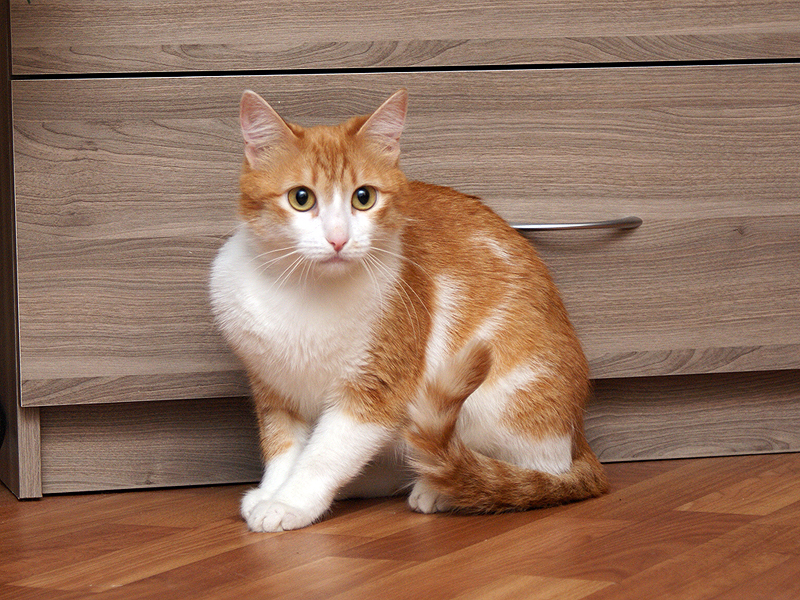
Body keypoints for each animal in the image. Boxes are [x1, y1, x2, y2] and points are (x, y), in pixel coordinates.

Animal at [209, 89, 608, 532]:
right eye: (301, 198)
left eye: (363, 197)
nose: (338, 239)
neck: (304, 291)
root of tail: (579, 435)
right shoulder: (274, 389)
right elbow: (283, 448)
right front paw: (272, 491)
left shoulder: (376, 389)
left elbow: (324, 454)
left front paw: (291, 502)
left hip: (503, 398)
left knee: (530, 468)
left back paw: (443, 488)